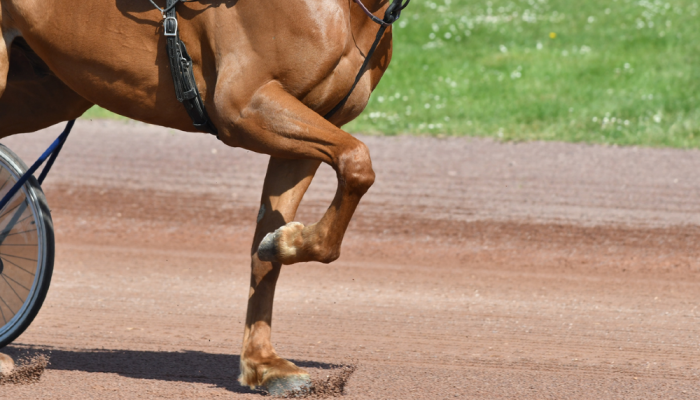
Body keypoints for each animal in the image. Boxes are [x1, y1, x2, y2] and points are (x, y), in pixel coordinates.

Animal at [0, 0, 402, 390]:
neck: (346, 11)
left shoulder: (311, 125)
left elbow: (266, 249)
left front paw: (264, 363)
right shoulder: (244, 106)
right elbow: (357, 162)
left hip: (50, 91)